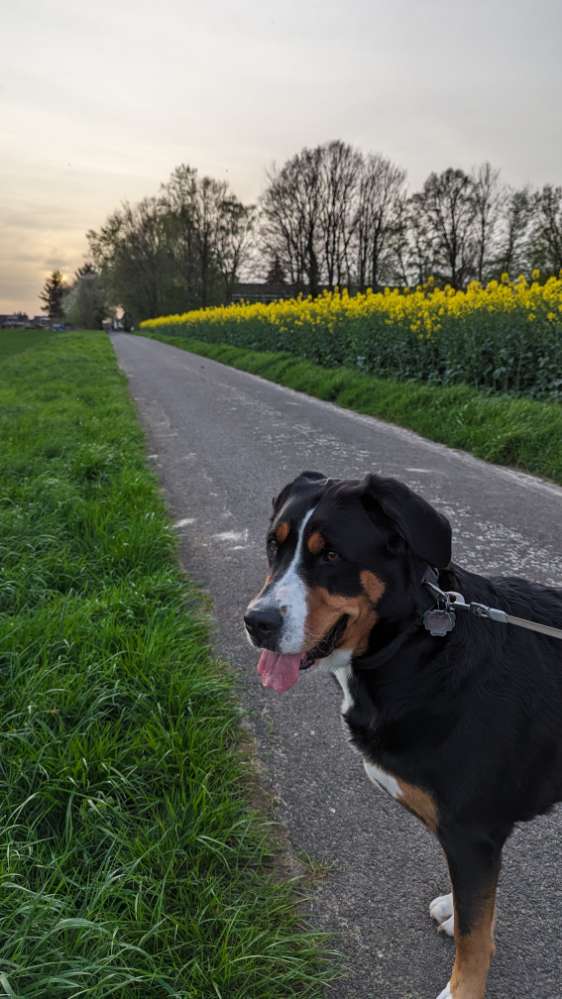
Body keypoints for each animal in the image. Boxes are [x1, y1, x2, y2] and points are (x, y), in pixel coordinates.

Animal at [242, 472, 560, 999]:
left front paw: (461, 990)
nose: (257, 622)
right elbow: (475, 911)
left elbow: (475, 936)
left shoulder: (472, 830)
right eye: (274, 545)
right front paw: (455, 908)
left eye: (332, 556)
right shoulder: (475, 836)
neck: (414, 647)